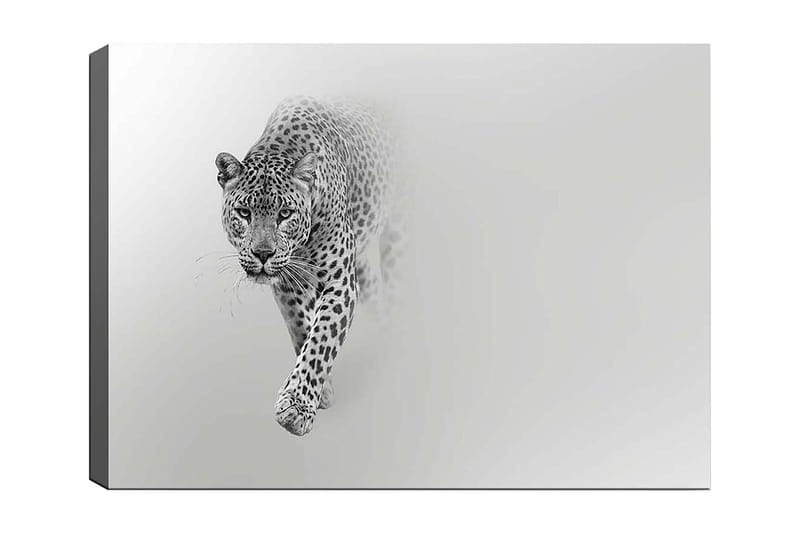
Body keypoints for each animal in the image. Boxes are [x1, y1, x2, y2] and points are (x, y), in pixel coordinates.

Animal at [215, 96, 401, 436]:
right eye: (244, 212)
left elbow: (322, 338)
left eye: (285, 213)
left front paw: (297, 407)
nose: (263, 253)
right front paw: (322, 390)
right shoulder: (288, 285)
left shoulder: (340, 283)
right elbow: (303, 329)